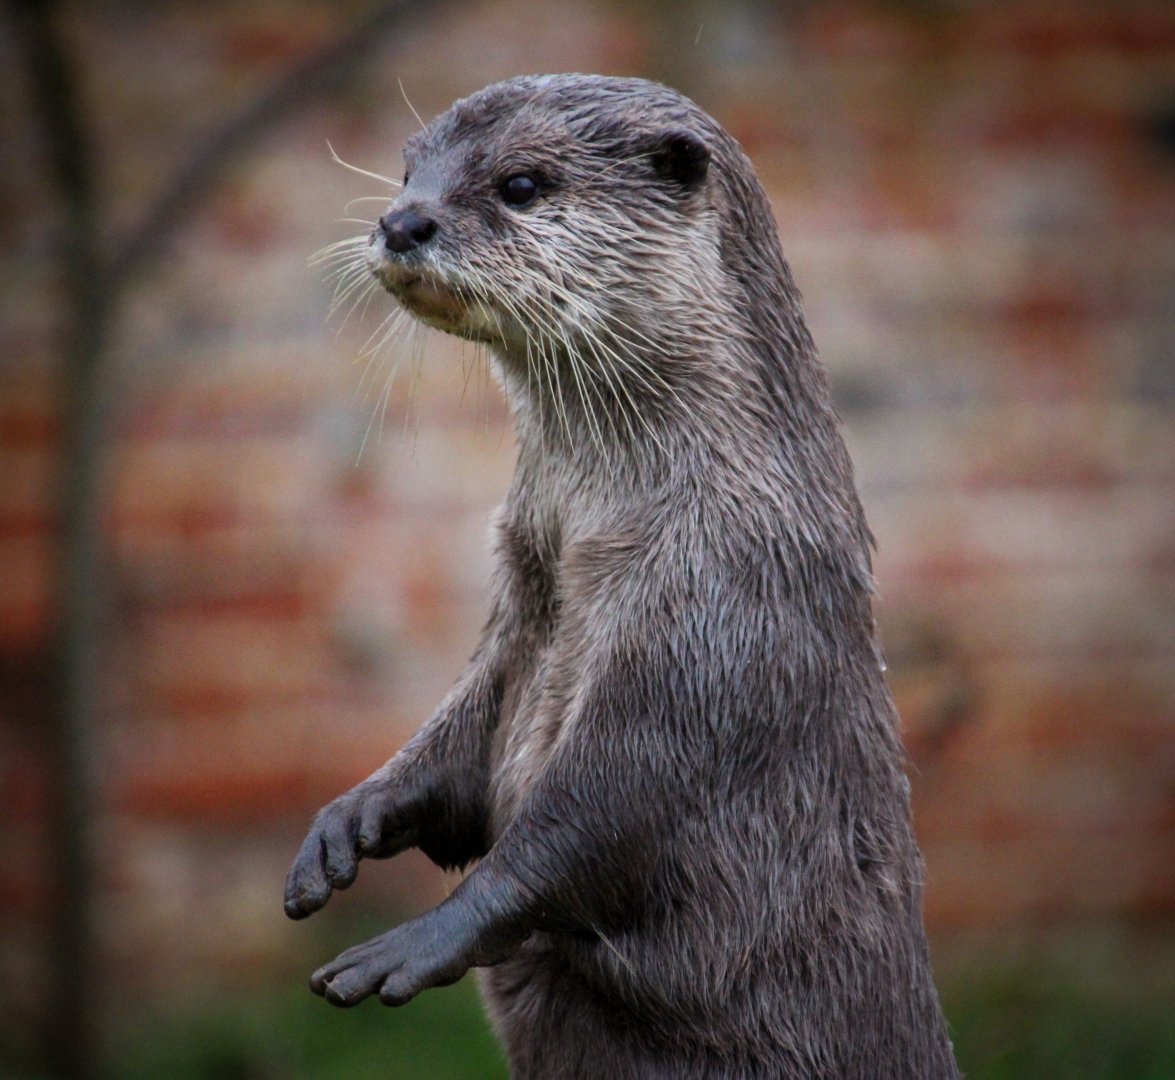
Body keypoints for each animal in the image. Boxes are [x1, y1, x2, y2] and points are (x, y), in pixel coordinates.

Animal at [285, 74, 959, 1079]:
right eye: (409, 169)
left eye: (522, 183)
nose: (402, 221)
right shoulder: (523, 585)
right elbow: (462, 738)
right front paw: (350, 819)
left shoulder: (720, 614)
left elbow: (602, 813)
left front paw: (418, 938)